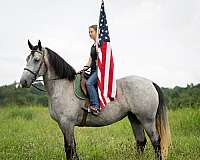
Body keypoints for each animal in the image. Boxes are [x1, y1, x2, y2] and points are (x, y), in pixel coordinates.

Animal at [19, 40, 170, 159]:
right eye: (26, 59)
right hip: (134, 118)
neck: (62, 86)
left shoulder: (67, 124)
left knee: (156, 142)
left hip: (147, 119)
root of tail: (150, 82)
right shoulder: (64, 125)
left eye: (36, 60)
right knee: (141, 142)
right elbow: (73, 148)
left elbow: (69, 149)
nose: (23, 82)